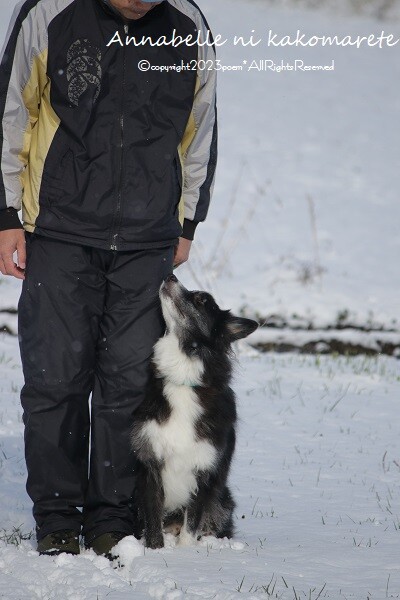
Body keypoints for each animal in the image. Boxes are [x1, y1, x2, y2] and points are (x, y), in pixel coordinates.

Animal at [130, 274, 258, 548]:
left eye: (202, 300)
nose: (170, 275)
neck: (183, 380)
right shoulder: (150, 465)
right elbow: (152, 522)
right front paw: (155, 551)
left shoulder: (204, 472)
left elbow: (191, 526)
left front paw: (185, 555)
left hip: (222, 503)